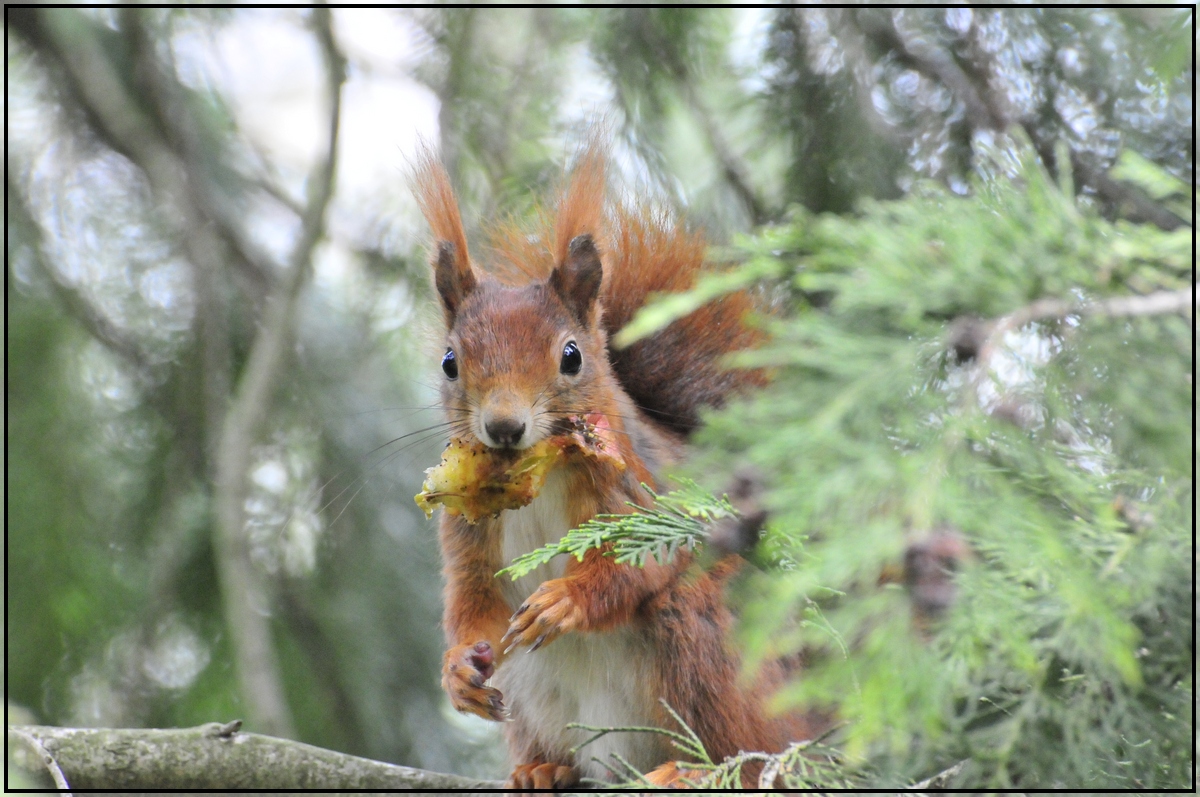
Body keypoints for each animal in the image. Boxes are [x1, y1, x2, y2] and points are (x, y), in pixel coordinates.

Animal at [415, 146, 825, 787]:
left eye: (571, 356)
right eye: (450, 362)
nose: (504, 427)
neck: (541, 480)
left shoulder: (641, 490)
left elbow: (638, 568)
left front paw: (566, 600)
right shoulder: (466, 533)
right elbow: (470, 600)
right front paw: (457, 669)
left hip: (710, 646)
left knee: (745, 749)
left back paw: (693, 770)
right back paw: (543, 771)